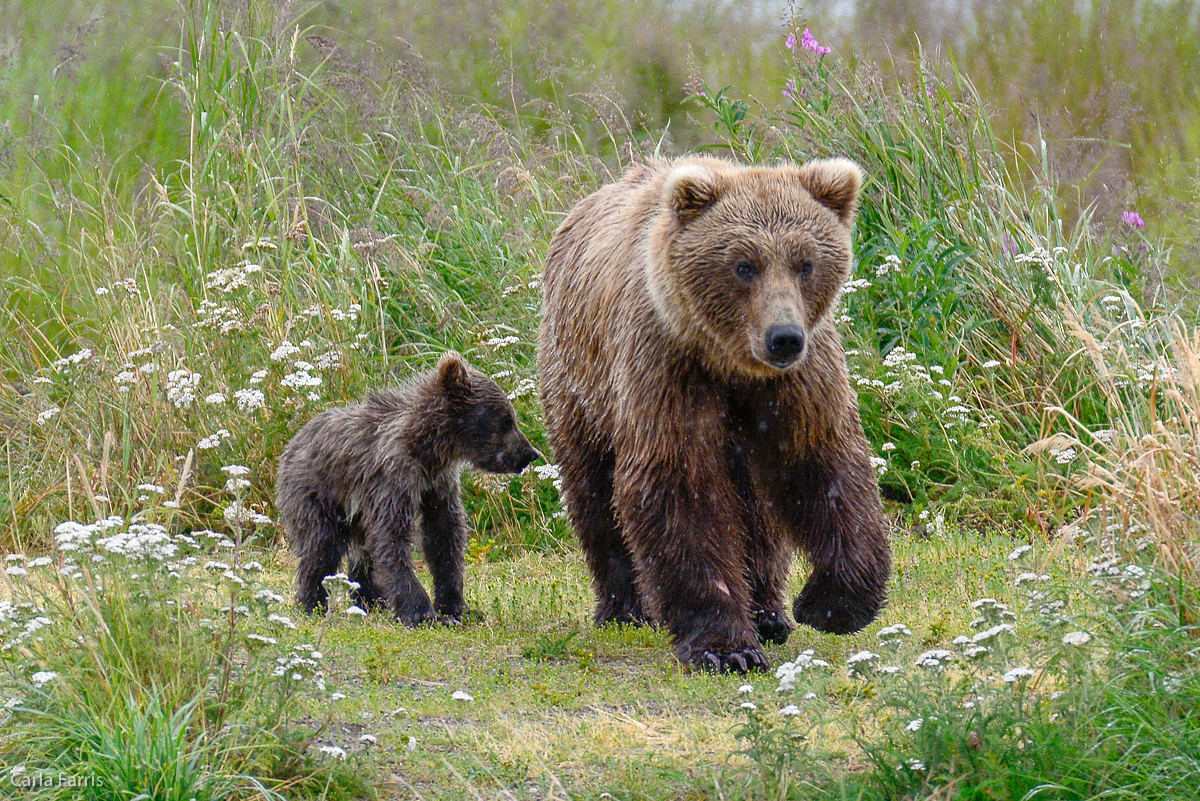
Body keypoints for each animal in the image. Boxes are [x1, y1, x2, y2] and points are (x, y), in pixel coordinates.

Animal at [540, 154, 888, 671]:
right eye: (744, 265)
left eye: (805, 263)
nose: (784, 338)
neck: (731, 365)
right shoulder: (668, 368)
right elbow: (680, 488)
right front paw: (726, 648)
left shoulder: (798, 384)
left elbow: (821, 468)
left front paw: (826, 603)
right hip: (581, 381)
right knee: (593, 491)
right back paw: (624, 608)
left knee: (757, 511)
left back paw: (769, 614)